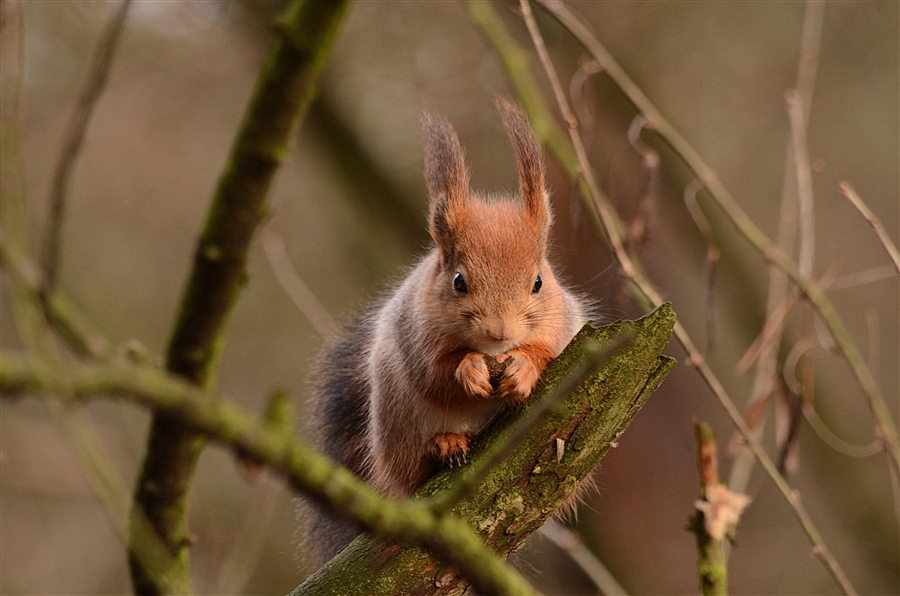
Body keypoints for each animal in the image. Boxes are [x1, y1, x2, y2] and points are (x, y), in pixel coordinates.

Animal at [308, 100, 592, 560]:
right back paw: (443, 446)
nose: (499, 333)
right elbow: (435, 375)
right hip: (395, 416)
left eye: (538, 282)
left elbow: (549, 354)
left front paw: (522, 370)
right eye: (459, 281)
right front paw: (470, 370)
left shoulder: (566, 328)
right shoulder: (415, 335)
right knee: (412, 472)